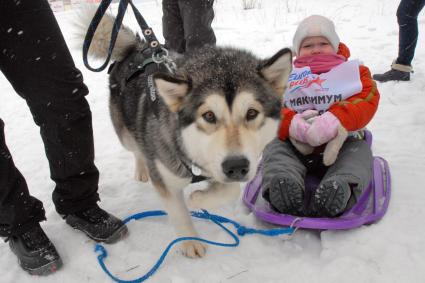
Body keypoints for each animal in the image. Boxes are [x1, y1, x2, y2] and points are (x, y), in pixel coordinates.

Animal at [78, 11, 292, 260]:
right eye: (208, 115)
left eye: (251, 113)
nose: (236, 166)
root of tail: (137, 47)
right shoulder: (165, 176)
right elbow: (179, 211)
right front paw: (190, 241)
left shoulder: (220, 168)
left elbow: (231, 189)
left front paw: (198, 198)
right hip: (126, 136)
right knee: (137, 148)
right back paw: (142, 168)